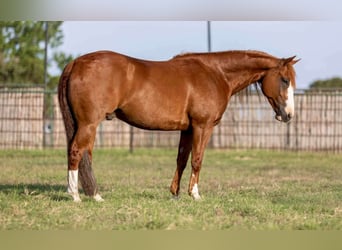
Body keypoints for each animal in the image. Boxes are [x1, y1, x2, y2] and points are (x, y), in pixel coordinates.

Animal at [57, 49, 298, 202]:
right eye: (285, 80)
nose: (288, 115)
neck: (216, 73)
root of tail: (76, 63)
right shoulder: (202, 126)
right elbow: (197, 160)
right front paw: (195, 194)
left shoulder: (188, 130)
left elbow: (182, 160)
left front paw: (175, 193)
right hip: (89, 124)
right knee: (77, 152)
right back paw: (75, 195)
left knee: (86, 155)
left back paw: (95, 195)